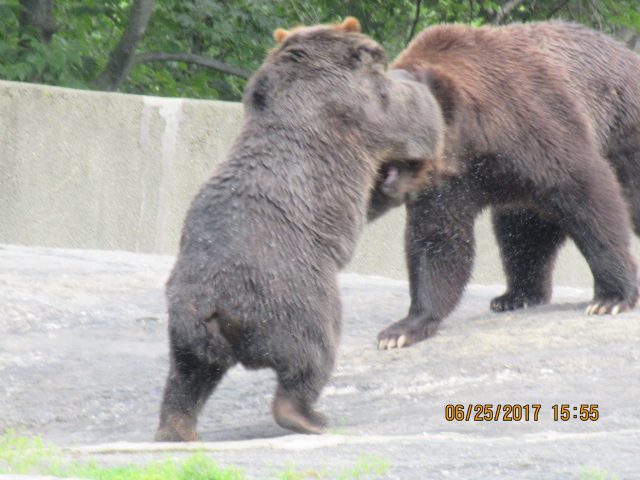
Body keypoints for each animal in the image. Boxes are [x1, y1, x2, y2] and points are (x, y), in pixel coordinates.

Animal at [154, 17, 445, 441]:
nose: (383, 53)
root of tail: (212, 303)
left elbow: (373, 197)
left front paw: (398, 180)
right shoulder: (356, 110)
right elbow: (413, 116)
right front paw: (417, 76)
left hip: (186, 330)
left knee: (187, 378)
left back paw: (176, 430)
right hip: (293, 294)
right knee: (312, 352)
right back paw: (308, 416)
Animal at [368, 21, 640, 350]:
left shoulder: (533, 125)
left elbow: (589, 196)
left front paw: (610, 298)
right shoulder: (448, 183)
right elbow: (437, 240)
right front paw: (403, 329)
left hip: (624, 132)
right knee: (523, 234)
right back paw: (515, 295)